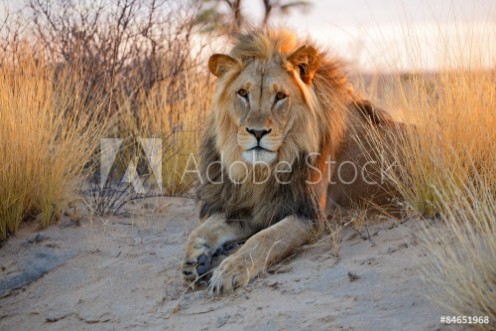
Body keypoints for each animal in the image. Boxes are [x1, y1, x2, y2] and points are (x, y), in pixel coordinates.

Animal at [182, 27, 406, 294]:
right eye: (243, 94)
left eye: (280, 96)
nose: (257, 132)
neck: (260, 171)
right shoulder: (254, 205)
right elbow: (203, 228)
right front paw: (195, 260)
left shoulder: (309, 215)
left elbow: (263, 239)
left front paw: (230, 271)